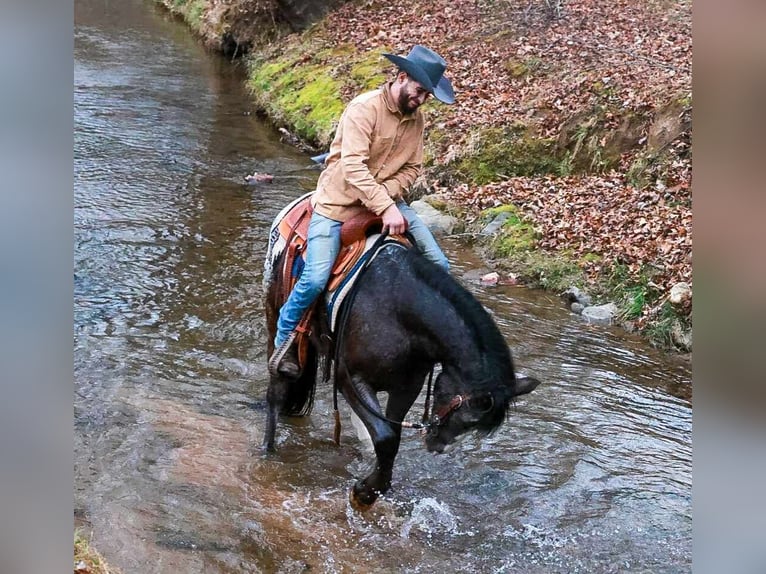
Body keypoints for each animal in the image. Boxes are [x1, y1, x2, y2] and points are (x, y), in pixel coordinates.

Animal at [262, 221, 540, 510]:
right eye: (467, 417)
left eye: (472, 425)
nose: (437, 447)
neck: (397, 311)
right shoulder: (351, 380)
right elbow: (386, 438)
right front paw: (363, 493)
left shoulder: (407, 387)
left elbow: (391, 436)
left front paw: (374, 486)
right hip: (277, 319)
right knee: (276, 390)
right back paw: (269, 453)